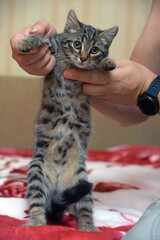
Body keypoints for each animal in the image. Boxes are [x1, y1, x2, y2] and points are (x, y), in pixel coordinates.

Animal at [17, 8, 117, 231]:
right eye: (77, 44)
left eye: (94, 49)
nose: (83, 58)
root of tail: (57, 184)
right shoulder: (53, 47)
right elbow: (42, 36)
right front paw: (26, 41)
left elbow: (99, 65)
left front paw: (107, 62)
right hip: (36, 172)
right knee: (36, 203)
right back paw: (35, 223)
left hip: (81, 183)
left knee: (85, 210)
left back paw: (89, 229)